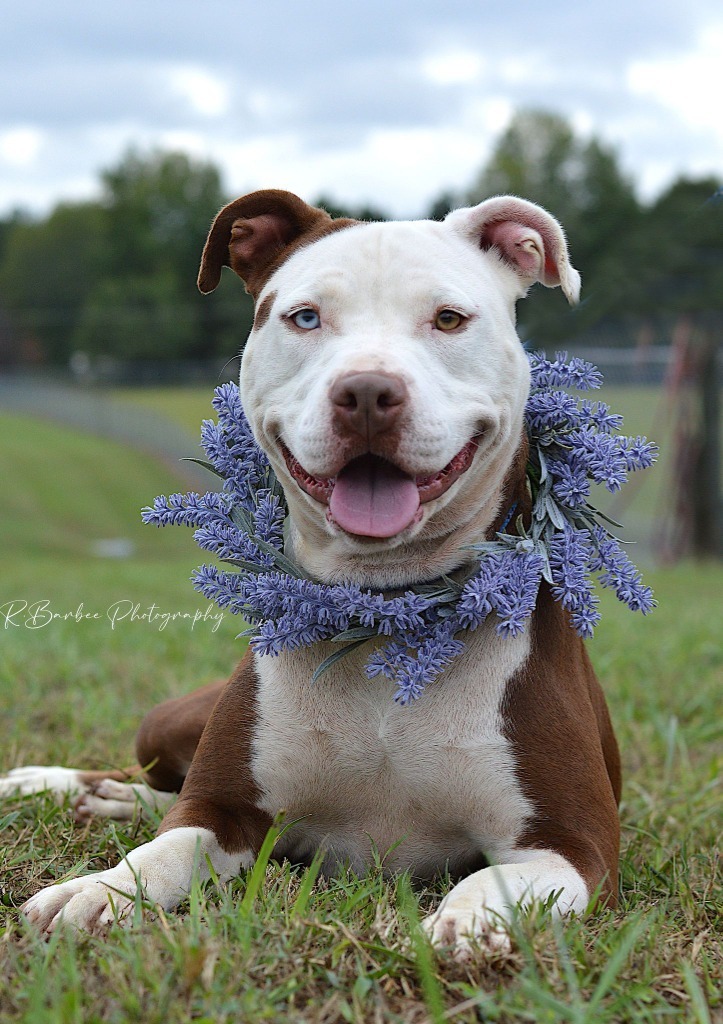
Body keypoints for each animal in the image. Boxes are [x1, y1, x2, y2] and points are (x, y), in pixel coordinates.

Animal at [1, 188, 618, 954]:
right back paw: (55, 783)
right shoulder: (223, 807)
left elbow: (503, 880)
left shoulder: (576, 843)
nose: (368, 392)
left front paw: (468, 920)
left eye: (448, 319)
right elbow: (165, 849)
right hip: (167, 722)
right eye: (305, 317)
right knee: (151, 783)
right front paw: (95, 890)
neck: (386, 610)